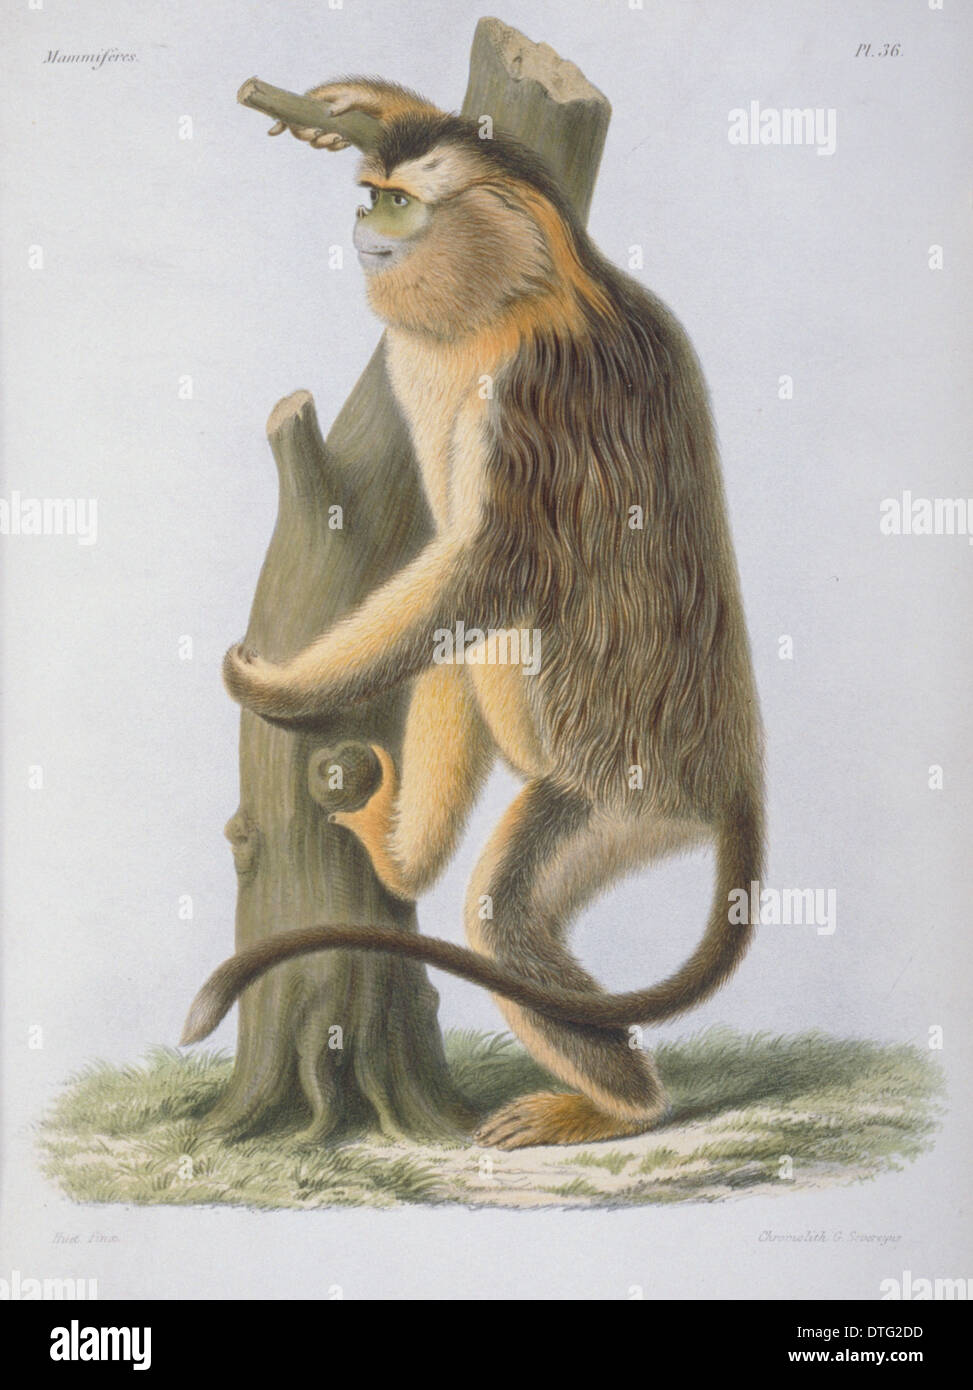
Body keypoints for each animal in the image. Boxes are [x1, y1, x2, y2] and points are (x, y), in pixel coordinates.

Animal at [181, 78, 764, 1151]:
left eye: (399, 206)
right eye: (371, 195)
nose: (365, 235)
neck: (522, 295)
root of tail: (736, 768)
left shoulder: (531, 402)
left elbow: (489, 571)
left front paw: (287, 687)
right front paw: (361, 100)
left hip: (626, 796)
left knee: (503, 908)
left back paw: (616, 1109)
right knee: (456, 662)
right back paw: (405, 865)